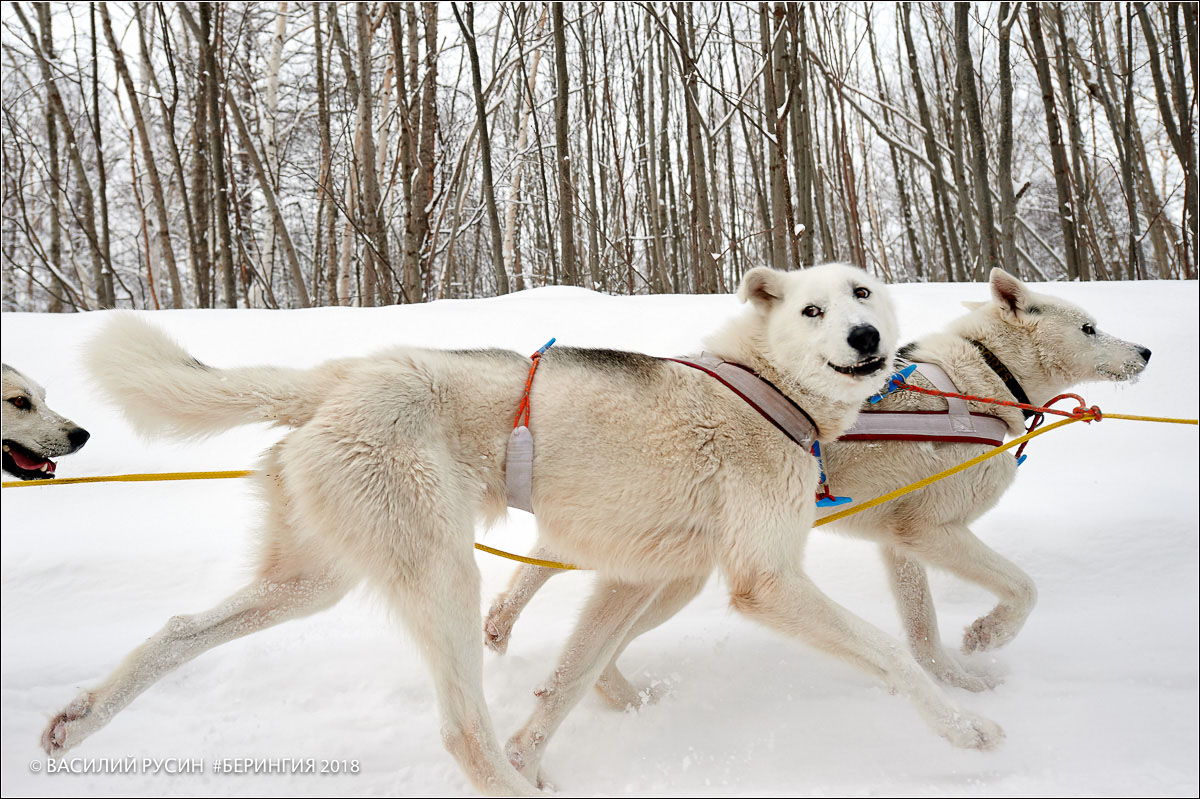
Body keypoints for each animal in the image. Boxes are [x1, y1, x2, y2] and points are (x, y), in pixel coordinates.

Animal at [39, 261, 1003, 791]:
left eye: (862, 292)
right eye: (812, 311)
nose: (868, 335)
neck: (768, 388)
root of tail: (344, 373)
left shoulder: (629, 580)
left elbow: (571, 681)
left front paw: (545, 735)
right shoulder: (766, 581)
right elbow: (890, 653)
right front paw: (964, 730)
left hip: (309, 579)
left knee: (177, 631)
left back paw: (79, 719)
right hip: (441, 575)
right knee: (459, 730)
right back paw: (509, 783)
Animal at [484, 267, 1152, 719]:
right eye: (1090, 327)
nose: (1145, 350)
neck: (980, 376)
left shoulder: (899, 543)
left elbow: (922, 634)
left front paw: (954, 681)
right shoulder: (930, 531)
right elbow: (1023, 589)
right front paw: (987, 638)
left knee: (558, 586)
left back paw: (513, 631)